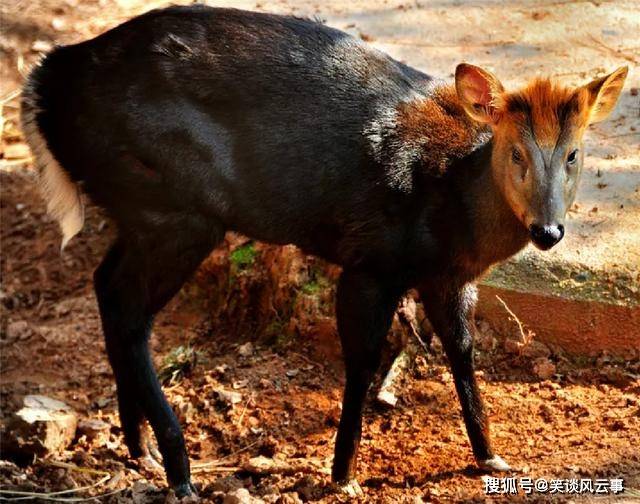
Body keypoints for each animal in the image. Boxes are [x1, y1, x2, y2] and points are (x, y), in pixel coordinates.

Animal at [20, 4, 624, 496]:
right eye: (516, 152)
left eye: (574, 153)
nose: (548, 230)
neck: (454, 199)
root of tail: (41, 88)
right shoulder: (370, 261)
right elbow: (362, 359)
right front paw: (342, 473)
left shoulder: (448, 277)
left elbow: (462, 350)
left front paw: (490, 456)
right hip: (172, 209)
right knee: (130, 311)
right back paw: (179, 468)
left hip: (142, 212)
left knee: (106, 284)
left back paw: (138, 446)